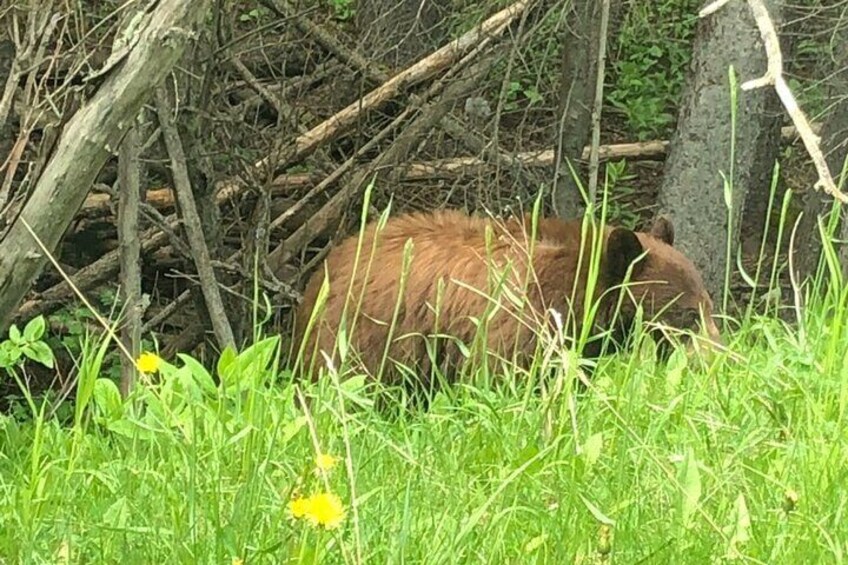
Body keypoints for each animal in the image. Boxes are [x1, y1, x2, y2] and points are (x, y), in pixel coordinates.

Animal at [292, 209, 724, 390]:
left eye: (709, 305)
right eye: (686, 313)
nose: (718, 359)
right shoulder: (519, 322)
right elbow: (505, 378)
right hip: (362, 338)